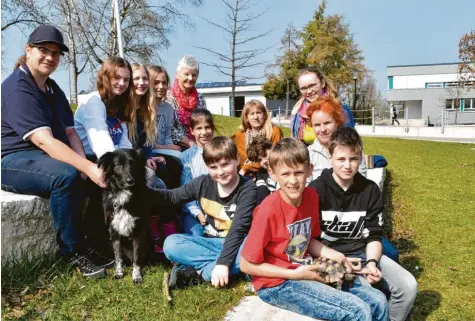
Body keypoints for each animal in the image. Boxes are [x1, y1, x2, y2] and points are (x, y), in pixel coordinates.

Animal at [96, 148, 149, 282]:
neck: (124, 193)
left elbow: (137, 256)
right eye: (118, 165)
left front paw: (137, 276)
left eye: (133, 163)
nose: (130, 181)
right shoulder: (113, 231)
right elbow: (118, 255)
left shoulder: (139, 231)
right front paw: (119, 272)